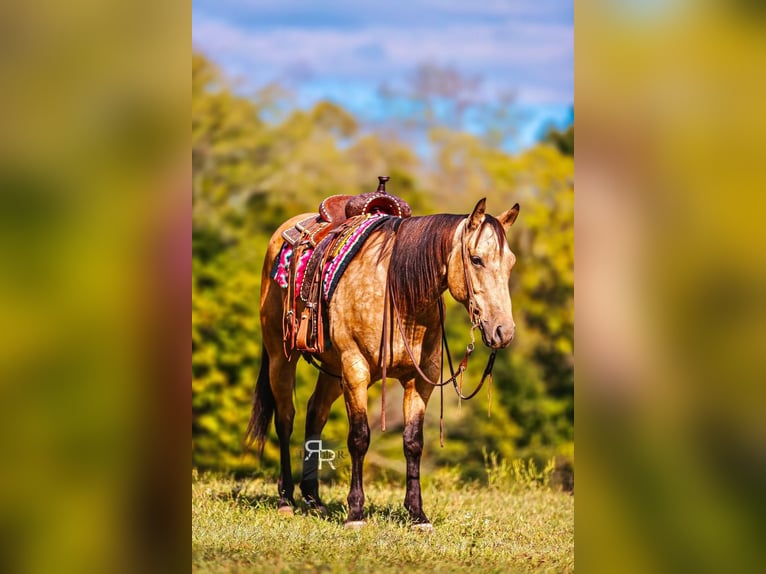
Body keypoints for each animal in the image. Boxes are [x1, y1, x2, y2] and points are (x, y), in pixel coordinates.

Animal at [247, 197, 520, 529]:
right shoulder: (355, 370)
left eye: (510, 262)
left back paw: (314, 499)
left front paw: (417, 515)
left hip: (332, 371)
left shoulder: (420, 380)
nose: (503, 331)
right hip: (281, 356)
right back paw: (286, 498)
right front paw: (355, 513)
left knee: (315, 414)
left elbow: (413, 442)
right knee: (285, 418)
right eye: (476, 259)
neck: (399, 295)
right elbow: (359, 437)